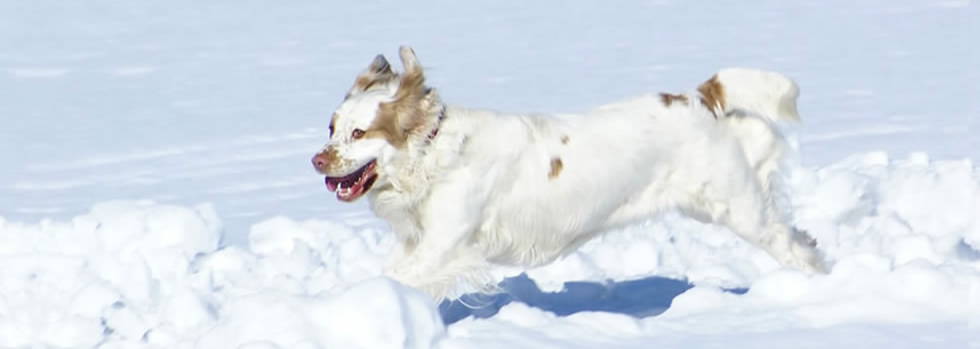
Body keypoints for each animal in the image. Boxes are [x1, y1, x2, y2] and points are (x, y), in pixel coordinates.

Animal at [310, 44, 824, 298]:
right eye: (331, 128)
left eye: (359, 133)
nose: (317, 161)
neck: (434, 153)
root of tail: (699, 96)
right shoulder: (418, 243)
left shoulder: (444, 246)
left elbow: (396, 278)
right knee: (798, 235)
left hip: (738, 209)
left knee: (792, 246)